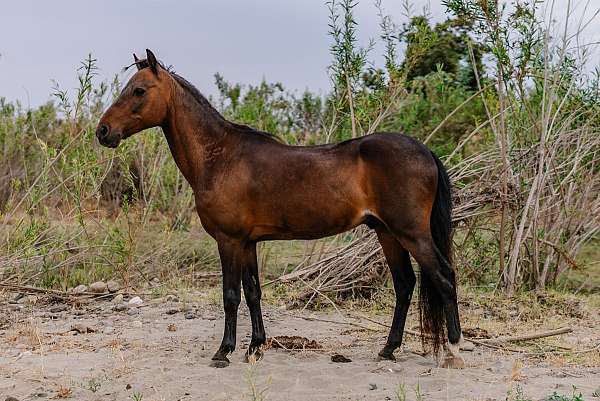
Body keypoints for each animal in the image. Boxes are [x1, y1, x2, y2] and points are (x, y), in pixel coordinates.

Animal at [96, 48, 466, 368]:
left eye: (139, 90)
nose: (103, 131)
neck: (219, 157)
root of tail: (425, 151)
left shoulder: (229, 241)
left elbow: (230, 295)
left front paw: (224, 351)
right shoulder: (248, 242)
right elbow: (253, 292)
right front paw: (255, 347)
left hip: (411, 233)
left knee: (444, 277)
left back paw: (453, 350)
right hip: (387, 232)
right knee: (404, 285)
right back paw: (388, 349)